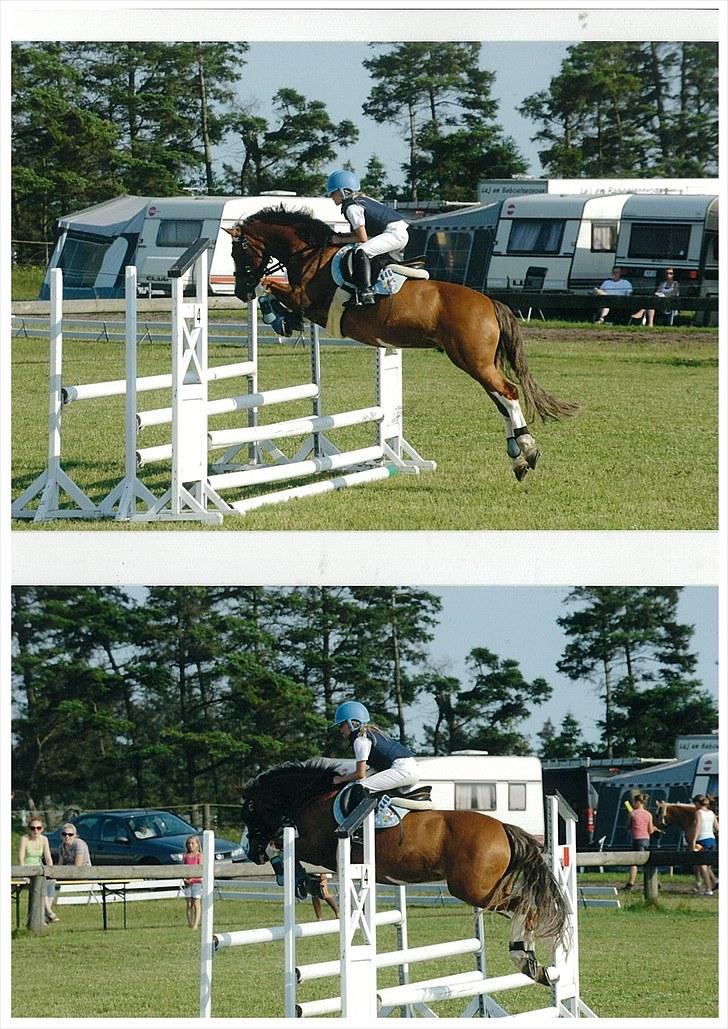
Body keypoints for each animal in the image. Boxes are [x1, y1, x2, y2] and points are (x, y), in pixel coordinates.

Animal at [224, 208, 576, 485]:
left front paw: (276, 316)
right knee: (501, 399)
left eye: (237, 253)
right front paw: (283, 321)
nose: (240, 291)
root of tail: (489, 302)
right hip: (474, 363)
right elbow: (272, 290)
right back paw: (517, 456)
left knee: (509, 393)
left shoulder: (308, 301)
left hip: (473, 361)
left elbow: (269, 286)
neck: (311, 255)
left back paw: (527, 450)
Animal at [241, 761, 572, 983]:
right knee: (526, 907)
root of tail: (502, 828)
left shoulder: (317, 847)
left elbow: (281, 846)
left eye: (249, 811)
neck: (312, 797)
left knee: (526, 907)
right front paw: (297, 879)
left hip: (473, 890)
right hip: (488, 889)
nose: (251, 852)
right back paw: (532, 963)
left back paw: (523, 959)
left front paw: (290, 875)